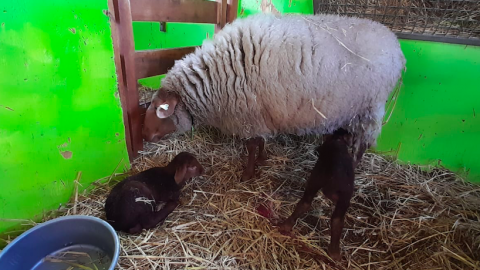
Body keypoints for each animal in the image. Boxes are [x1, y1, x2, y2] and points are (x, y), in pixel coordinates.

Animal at [142, 13, 404, 181]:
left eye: (158, 108)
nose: (145, 136)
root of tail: (397, 47)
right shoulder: (259, 111)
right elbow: (260, 141)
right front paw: (262, 159)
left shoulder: (247, 114)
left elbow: (251, 146)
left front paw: (248, 174)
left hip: (370, 109)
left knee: (363, 144)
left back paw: (355, 167)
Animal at [276, 129, 354, 262]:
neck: (338, 139)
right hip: (343, 196)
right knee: (337, 219)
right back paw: (334, 253)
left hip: (317, 179)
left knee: (306, 203)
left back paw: (285, 226)